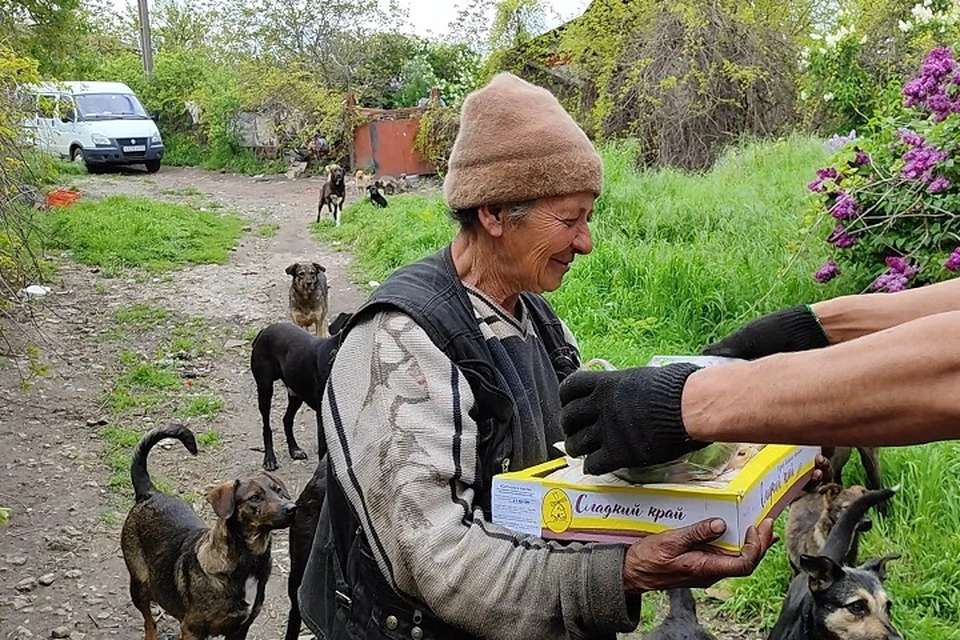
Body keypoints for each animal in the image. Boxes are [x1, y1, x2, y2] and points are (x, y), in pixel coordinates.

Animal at [122, 424, 298, 640]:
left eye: (278, 490)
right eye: (255, 497)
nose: (292, 508)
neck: (249, 561)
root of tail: (149, 493)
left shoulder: (241, 628)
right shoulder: (191, 629)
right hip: (139, 585)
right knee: (149, 621)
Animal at [249, 312, 350, 472]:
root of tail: (264, 330)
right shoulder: (322, 418)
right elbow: (323, 450)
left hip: (296, 394)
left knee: (287, 419)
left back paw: (294, 449)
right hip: (265, 388)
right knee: (266, 426)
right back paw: (269, 458)